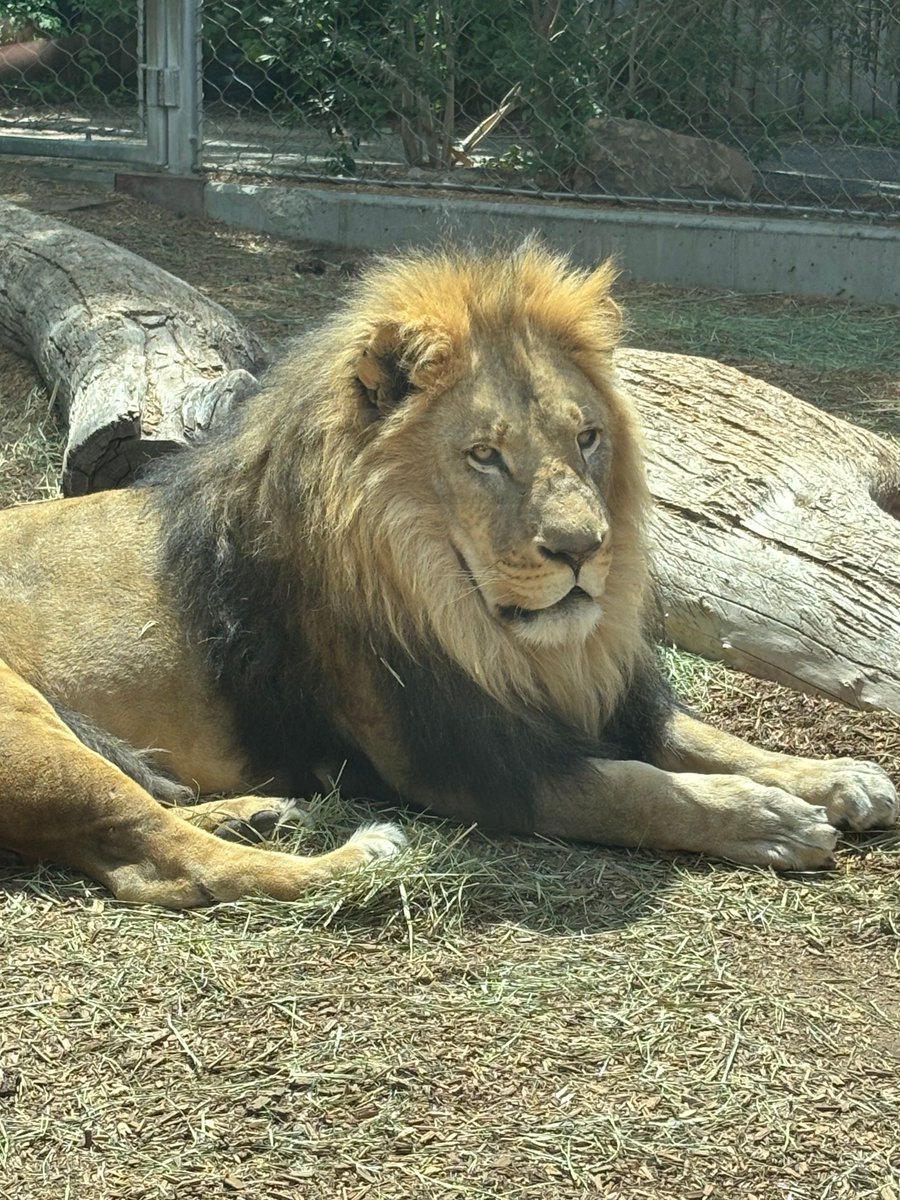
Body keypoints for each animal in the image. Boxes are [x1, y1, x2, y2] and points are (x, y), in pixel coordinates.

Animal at [0, 243, 895, 907]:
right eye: (485, 456)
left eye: (587, 439)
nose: (585, 548)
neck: (495, 632)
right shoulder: (459, 763)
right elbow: (638, 786)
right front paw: (769, 819)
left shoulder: (592, 698)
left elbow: (701, 738)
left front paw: (837, 777)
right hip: (27, 728)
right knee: (166, 859)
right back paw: (356, 854)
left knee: (133, 845)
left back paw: (257, 814)